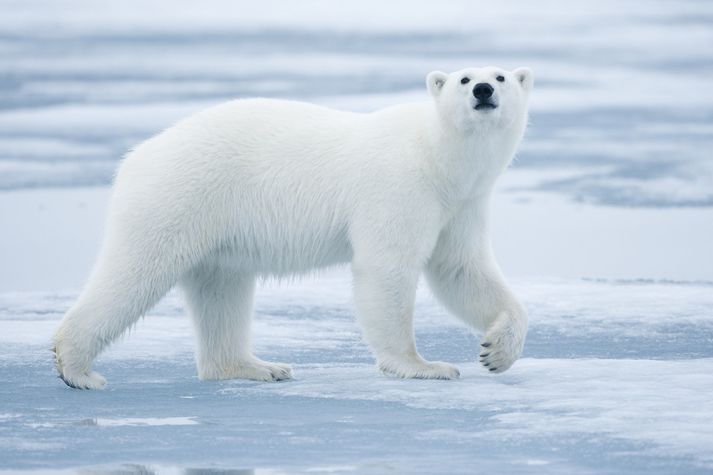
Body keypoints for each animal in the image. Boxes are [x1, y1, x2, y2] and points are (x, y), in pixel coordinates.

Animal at [54, 65, 536, 388]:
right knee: (135, 273)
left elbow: (461, 270)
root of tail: (136, 156)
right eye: (463, 79)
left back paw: (256, 366)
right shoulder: (400, 187)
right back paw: (76, 367)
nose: (484, 89)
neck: (436, 158)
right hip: (177, 197)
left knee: (222, 292)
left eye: (501, 76)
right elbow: (388, 270)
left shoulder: (461, 204)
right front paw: (424, 366)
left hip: (214, 229)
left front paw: (497, 351)